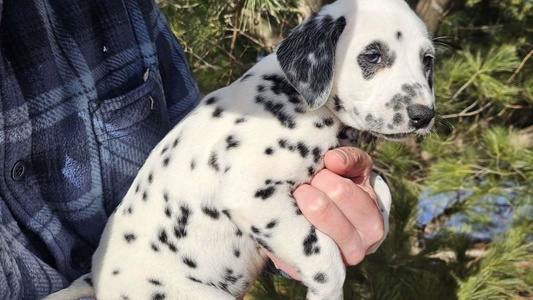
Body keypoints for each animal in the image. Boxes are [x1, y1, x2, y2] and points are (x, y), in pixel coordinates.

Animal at [45, 0, 434, 298]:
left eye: (427, 60)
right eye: (373, 55)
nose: (424, 115)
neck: (292, 96)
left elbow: (382, 189)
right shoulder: (255, 195)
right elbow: (324, 257)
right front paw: (327, 289)